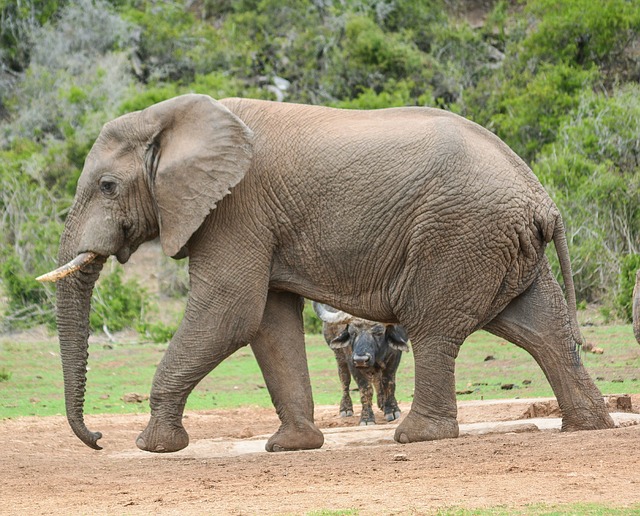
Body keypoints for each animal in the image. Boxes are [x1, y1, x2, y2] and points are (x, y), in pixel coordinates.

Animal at [38, 92, 616, 452]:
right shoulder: (255, 219)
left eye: (108, 186)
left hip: (458, 234)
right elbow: (268, 322)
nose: (97, 440)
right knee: (540, 327)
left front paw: (152, 446)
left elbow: (229, 313)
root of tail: (543, 200)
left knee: (433, 328)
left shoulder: (236, 209)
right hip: (498, 242)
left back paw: (416, 437)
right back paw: (587, 426)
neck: (173, 116)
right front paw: (291, 446)